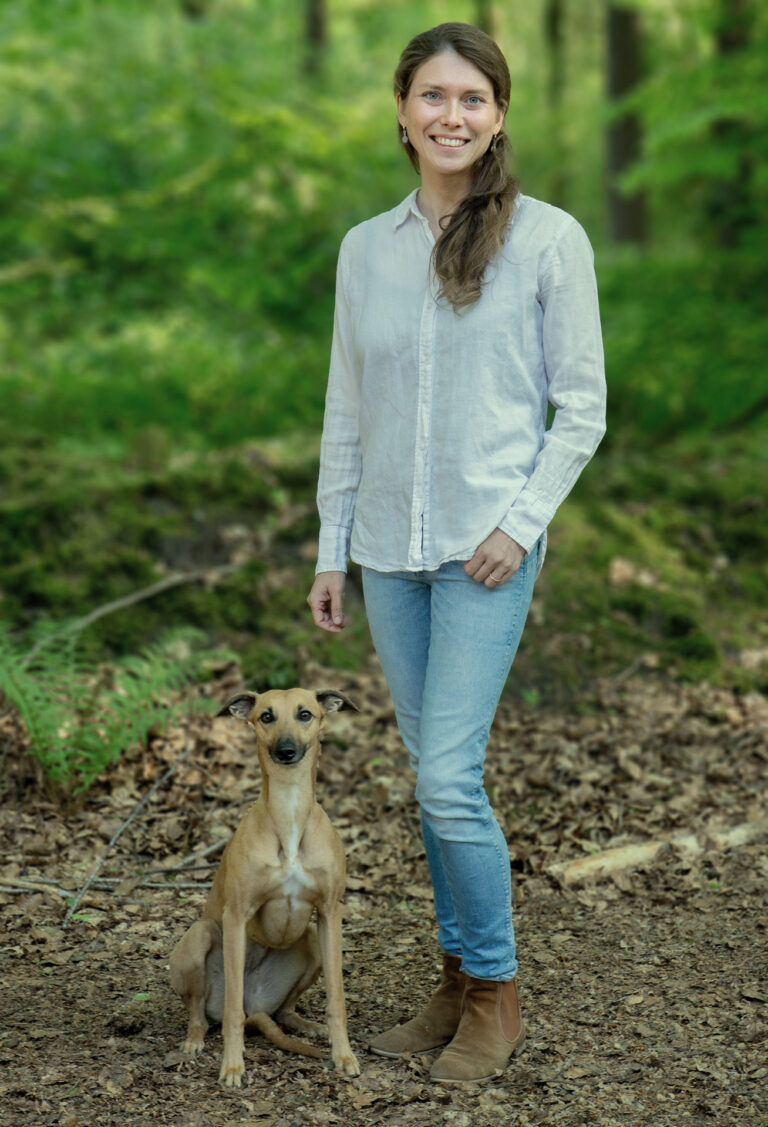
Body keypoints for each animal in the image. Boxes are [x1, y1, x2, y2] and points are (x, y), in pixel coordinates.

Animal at [169, 685, 360, 1081]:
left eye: (305, 714)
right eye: (266, 716)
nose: (285, 751)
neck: (289, 812)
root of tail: (254, 1004)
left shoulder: (330, 914)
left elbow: (336, 998)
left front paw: (344, 1055)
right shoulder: (236, 916)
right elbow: (229, 1016)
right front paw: (232, 1066)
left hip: (311, 942)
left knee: (284, 1011)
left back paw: (307, 1026)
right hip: (200, 937)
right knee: (202, 1012)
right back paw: (195, 1040)